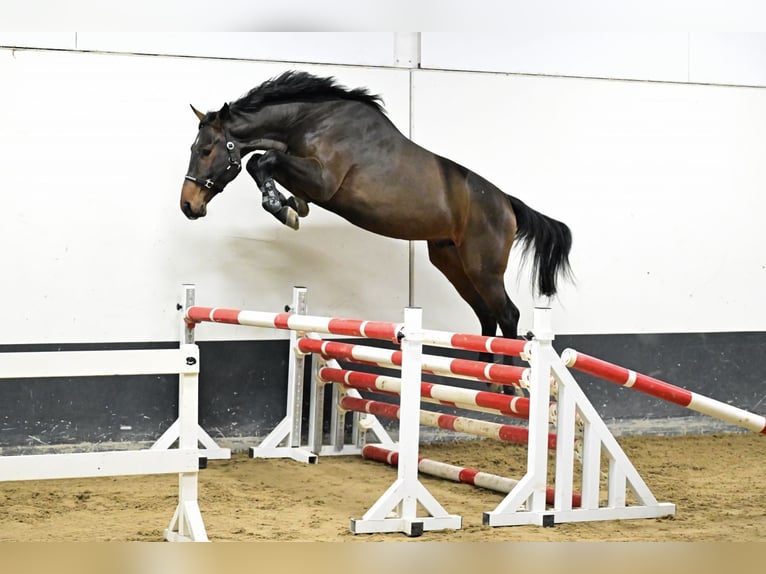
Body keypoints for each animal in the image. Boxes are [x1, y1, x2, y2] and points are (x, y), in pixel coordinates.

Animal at [182, 70, 576, 376]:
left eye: (205, 150)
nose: (188, 205)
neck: (309, 123)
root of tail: (506, 202)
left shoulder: (323, 180)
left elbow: (263, 160)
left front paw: (282, 208)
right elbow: (261, 163)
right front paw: (292, 206)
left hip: (484, 267)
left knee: (507, 314)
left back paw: (507, 384)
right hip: (452, 262)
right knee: (486, 314)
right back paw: (483, 377)